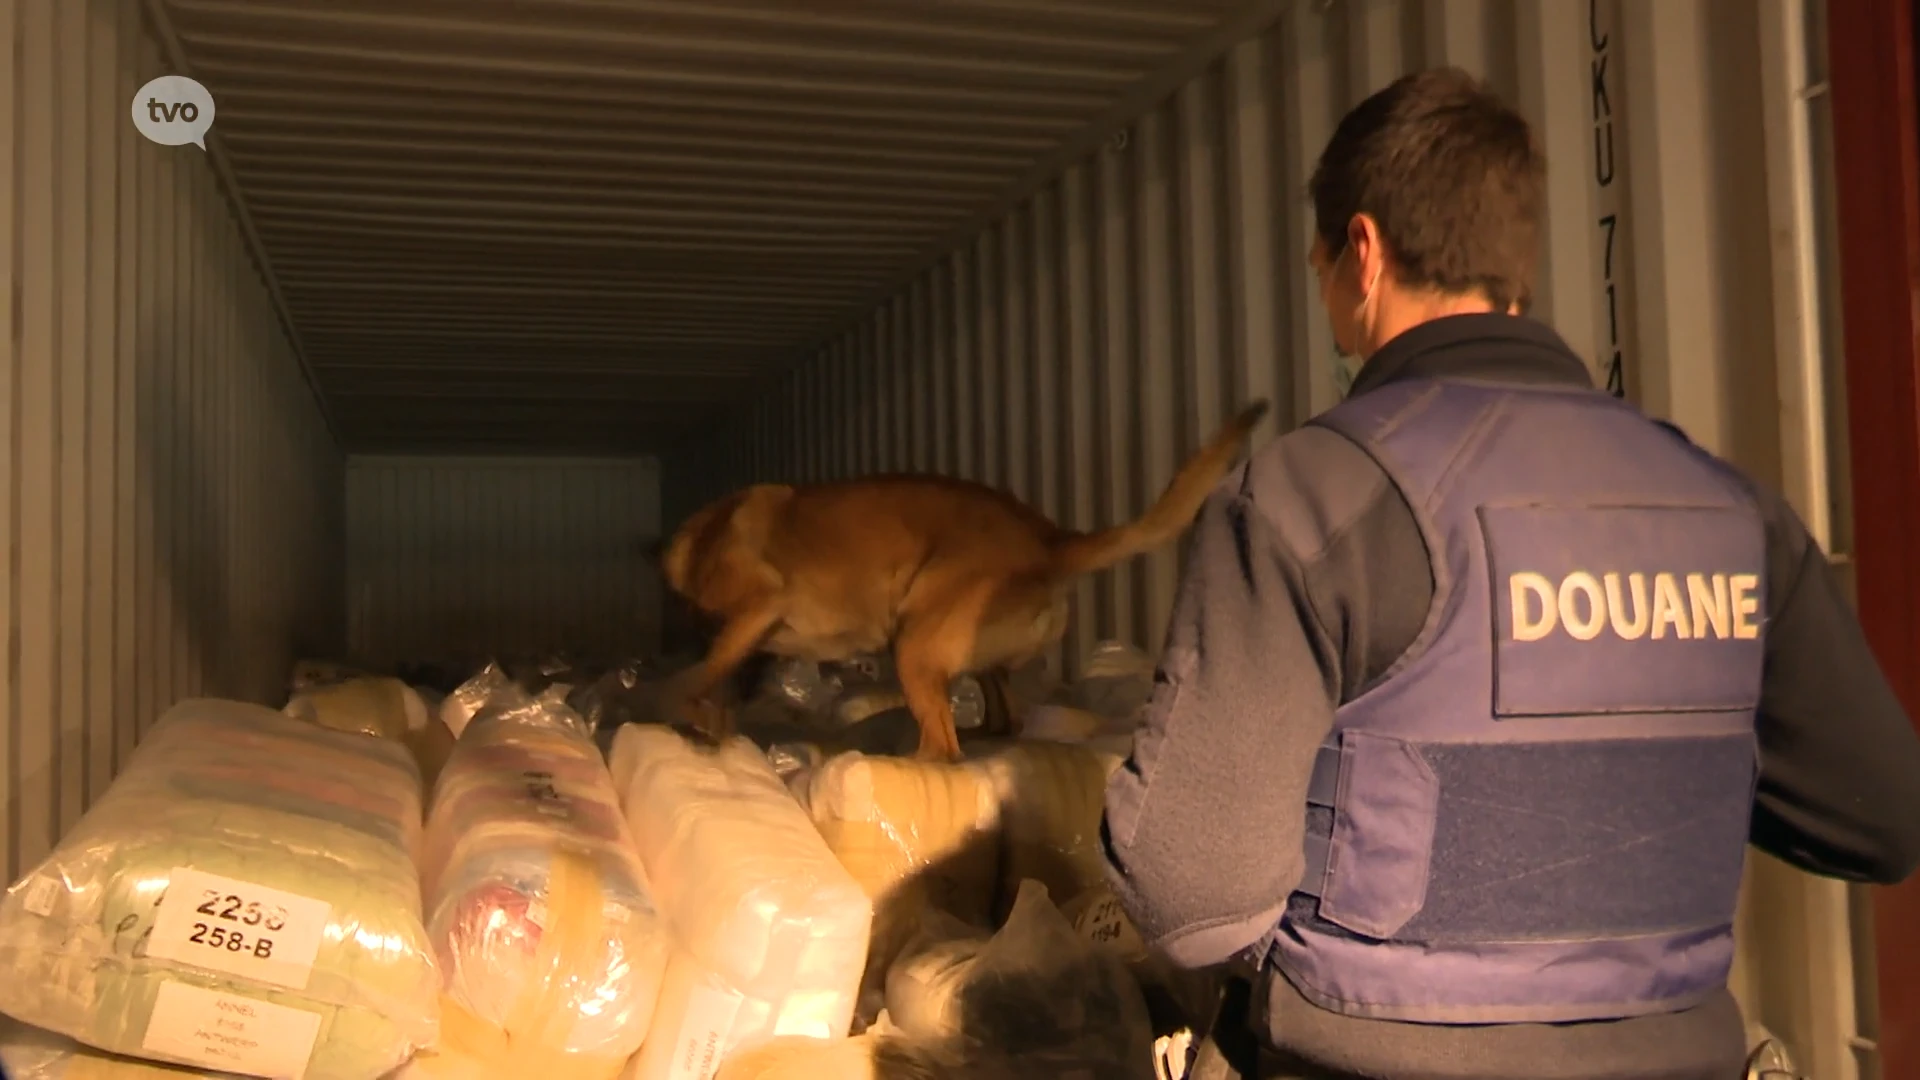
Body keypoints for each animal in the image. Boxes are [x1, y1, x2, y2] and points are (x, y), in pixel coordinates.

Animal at [660, 397, 1274, 757]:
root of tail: (1050, 540)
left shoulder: (756, 608)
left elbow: (693, 681)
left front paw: (695, 720)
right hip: (974, 659)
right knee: (1004, 721)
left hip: (913, 644)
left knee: (944, 749)